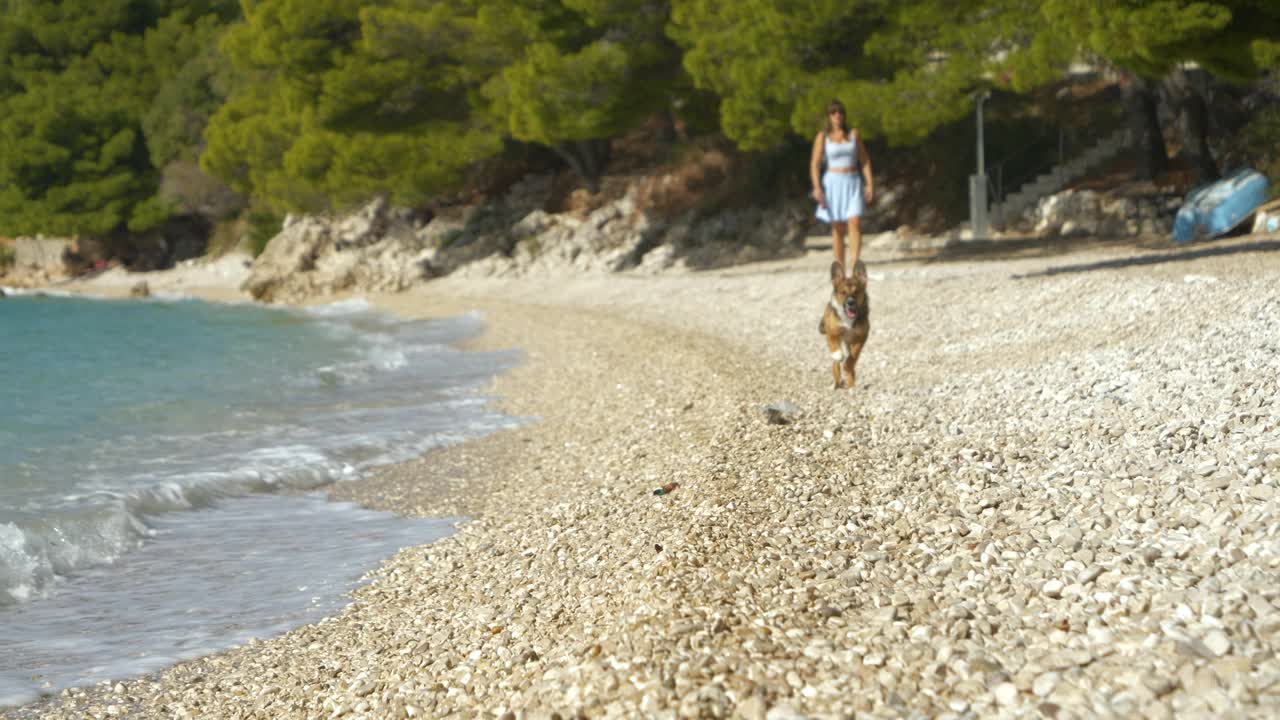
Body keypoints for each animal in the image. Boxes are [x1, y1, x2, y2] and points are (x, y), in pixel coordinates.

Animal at [819, 260, 870, 389]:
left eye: (856, 292)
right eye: (843, 293)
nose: (850, 303)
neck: (848, 319)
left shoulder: (861, 338)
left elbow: (853, 356)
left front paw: (848, 365)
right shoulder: (832, 332)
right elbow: (833, 345)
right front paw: (838, 354)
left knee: (850, 369)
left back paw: (852, 386)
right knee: (836, 368)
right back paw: (835, 385)